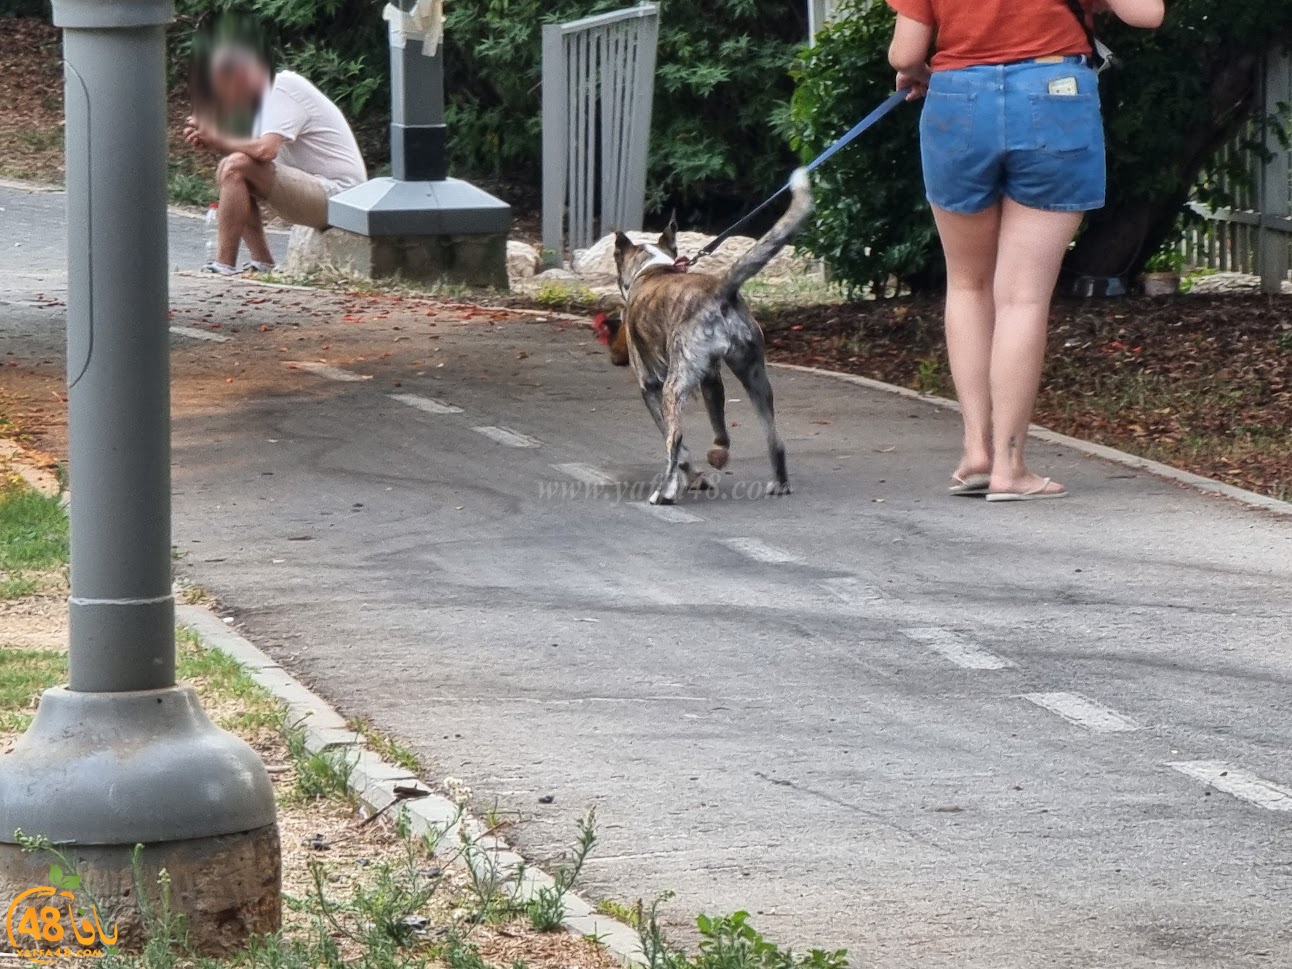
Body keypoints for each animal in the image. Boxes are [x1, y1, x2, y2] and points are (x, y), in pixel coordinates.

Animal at [609, 169, 811, 509]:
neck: (655, 268)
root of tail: (720, 291)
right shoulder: (711, 378)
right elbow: (718, 428)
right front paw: (714, 457)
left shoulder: (650, 389)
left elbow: (678, 447)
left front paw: (689, 477)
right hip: (755, 377)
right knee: (773, 437)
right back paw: (777, 482)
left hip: (674, 387)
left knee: (675, 439)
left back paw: (663, 494)